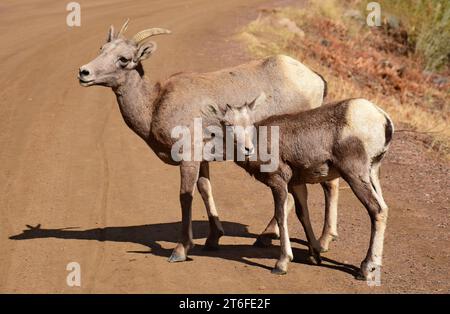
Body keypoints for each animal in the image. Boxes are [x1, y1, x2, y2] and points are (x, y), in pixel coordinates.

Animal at [77, 20, 338, 262]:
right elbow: (204, 189)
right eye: (102, 49)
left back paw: (320, 242)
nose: (83, 72)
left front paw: (181, 250)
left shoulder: (188, 159)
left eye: (123, 59)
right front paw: (213, 239)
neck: (154, 105)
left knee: (327, 185)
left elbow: (186, 196)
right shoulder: (202, 160)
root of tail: (316, 80)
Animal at [213, 98, 392, 280]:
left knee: (377, 210)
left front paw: (282, 264)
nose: (248, 149)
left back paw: (366, 269)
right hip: (372, 173)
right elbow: (302, 215)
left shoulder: (278, 182)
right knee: (383, 207)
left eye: (250, 122)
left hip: (355, 175)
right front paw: (315, 256)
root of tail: (382, 117)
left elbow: (281, 216)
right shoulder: (296, 185)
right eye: (227, 124)